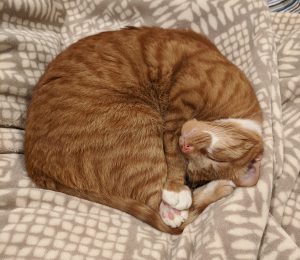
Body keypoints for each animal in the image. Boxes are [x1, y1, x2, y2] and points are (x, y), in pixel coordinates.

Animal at [24, 27, 262, 235]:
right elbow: (172, 151)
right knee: (167, 217)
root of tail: (35, 167)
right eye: (215, 157)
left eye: (198, 167)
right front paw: (176, 188)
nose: (187, 146)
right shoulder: (179, 106)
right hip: (141, 126)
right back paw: (194, 199)